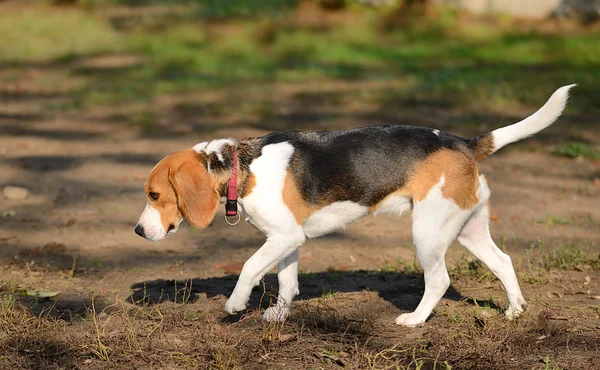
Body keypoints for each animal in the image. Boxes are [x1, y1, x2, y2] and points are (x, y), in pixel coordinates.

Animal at [135, 85, 572, 326]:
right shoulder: (287, 239)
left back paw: (415, 320)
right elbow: (287, 282)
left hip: (428, 233)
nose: (138, 231)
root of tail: (462, 142)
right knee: (504, 262)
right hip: (468, 228)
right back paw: (515, 311)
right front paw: (279, 316)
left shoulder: (282, 237)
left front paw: (236, 303)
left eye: (154, 195)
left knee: (440, 280)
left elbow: (248, 268)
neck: (242, 166)